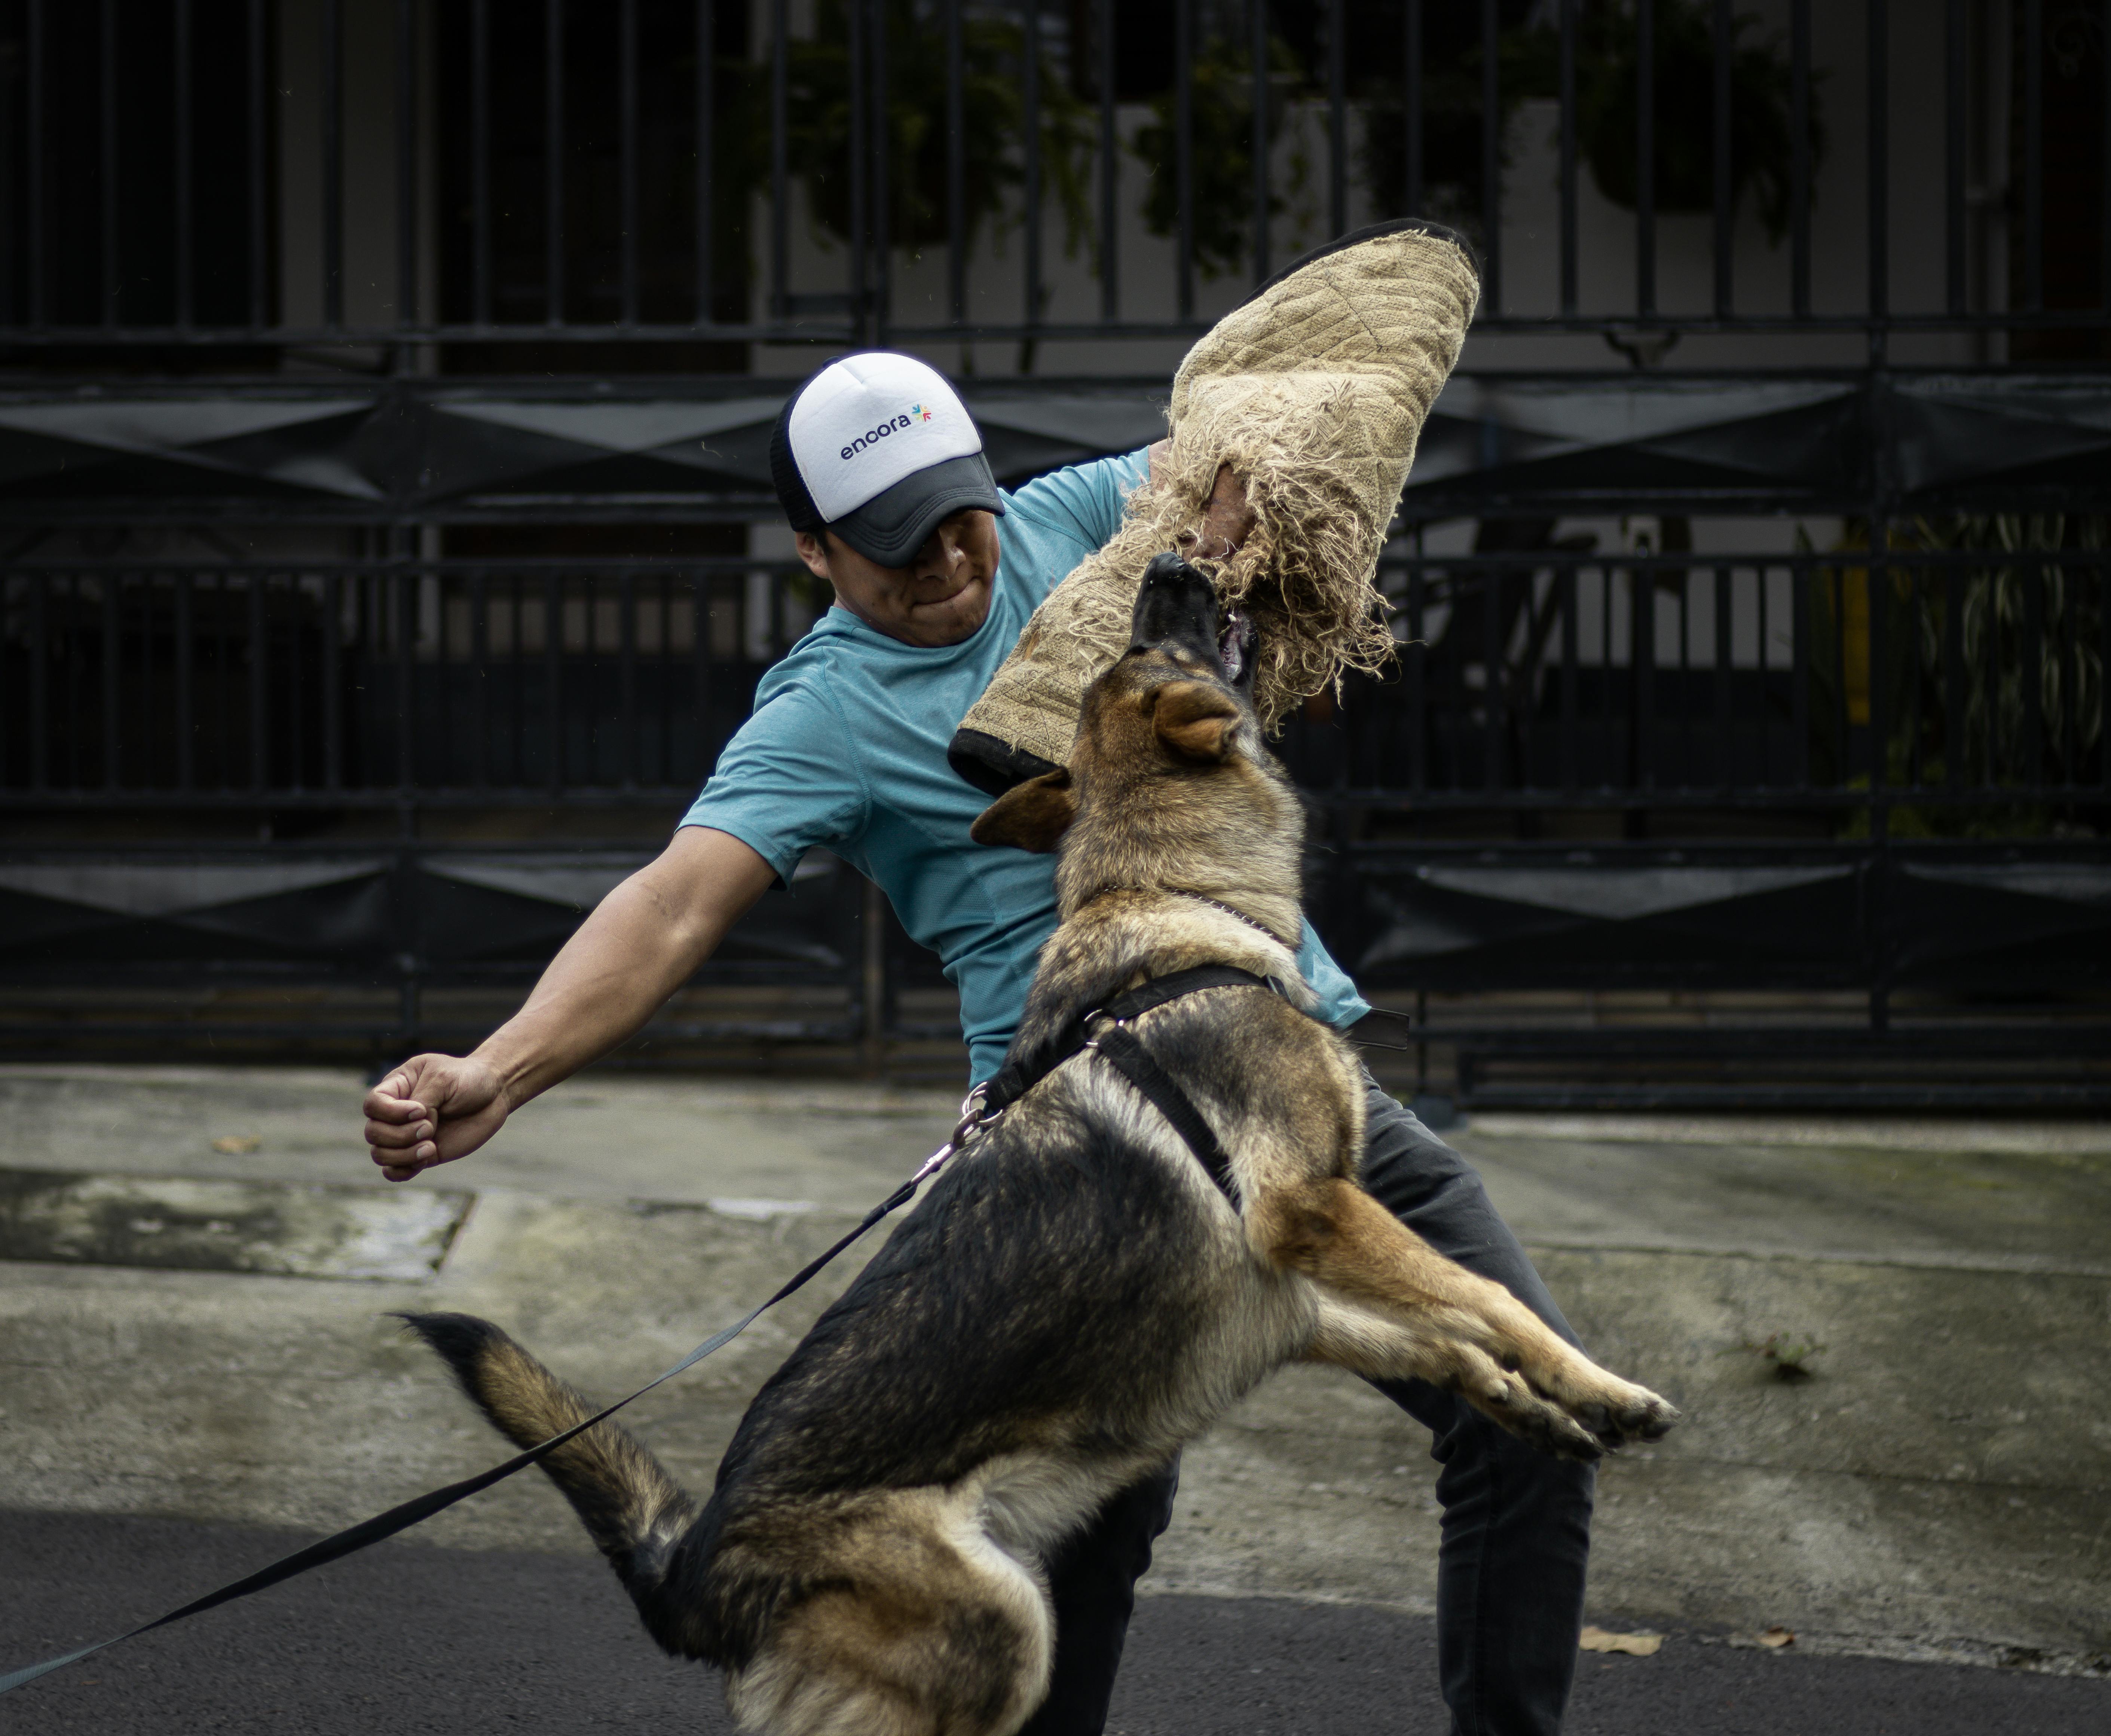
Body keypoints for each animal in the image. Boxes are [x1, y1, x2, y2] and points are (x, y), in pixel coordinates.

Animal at [403, 553, 1672, 1736]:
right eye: (1157, 643)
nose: (1171, 562)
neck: (1168, 896)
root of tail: (696, 1571)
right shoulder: (1307, 1211)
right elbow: (1486, 1298)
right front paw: (1607, 1383)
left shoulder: (1287, 1299)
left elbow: (1444, 1332)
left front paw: (1536, 1405)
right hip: (1007, 1625)